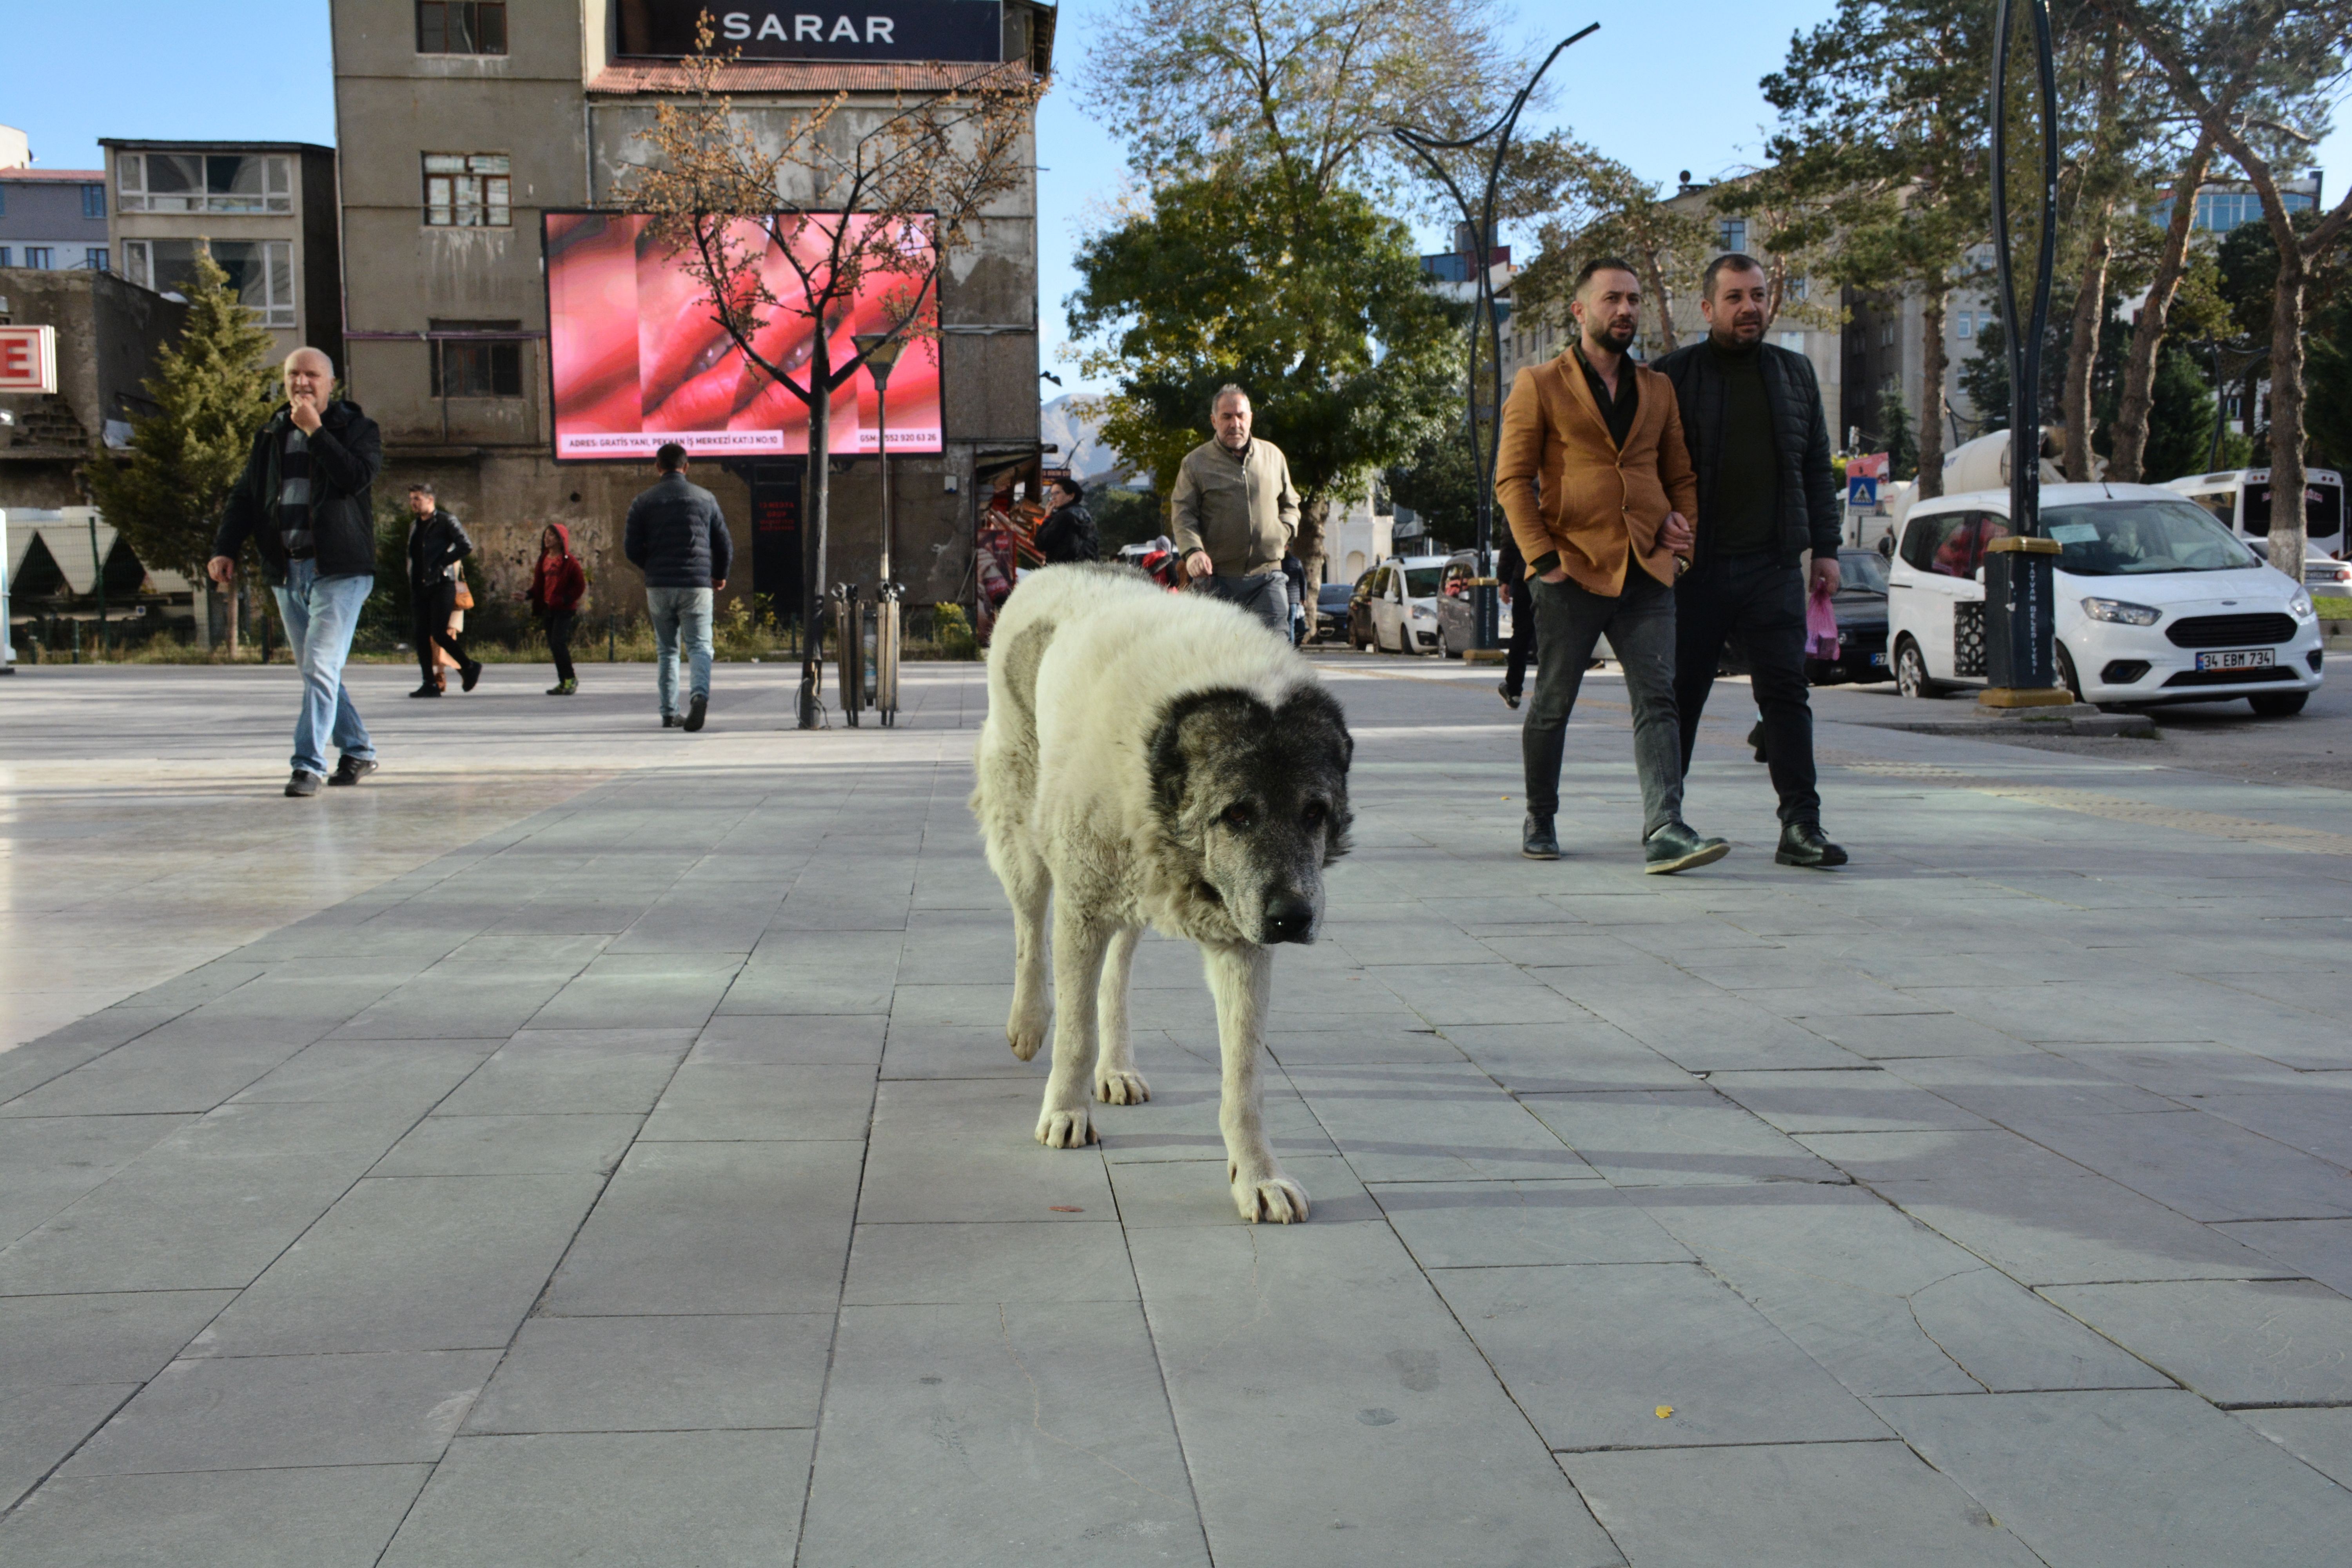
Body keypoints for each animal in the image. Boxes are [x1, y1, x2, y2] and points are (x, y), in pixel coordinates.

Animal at [964, 566, 1355, 1222]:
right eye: (1237, 814)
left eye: (1315, 814)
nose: (1292, 918)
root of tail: (1051, 570)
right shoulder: (1082, 905)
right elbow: (1074, 1032)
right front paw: (1065, 1111)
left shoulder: (1241, 943)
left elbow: (1244, 1081)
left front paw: (1258, 1176)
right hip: (1024, 833)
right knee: (1029, 929)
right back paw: (1028, 1023)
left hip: (1133, 892)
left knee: (1116, 975)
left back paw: (1117, 1066)